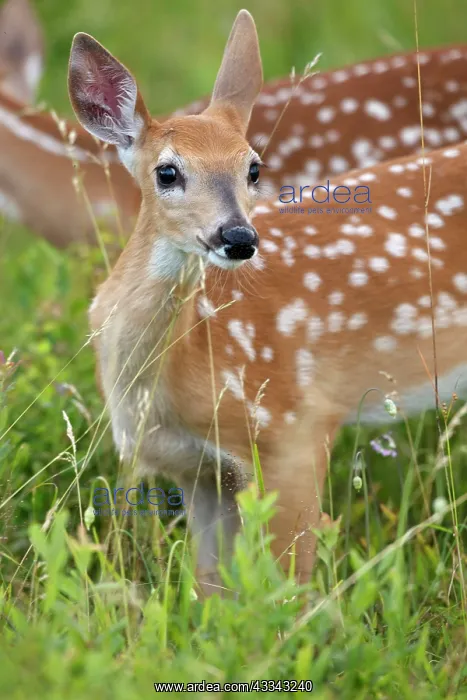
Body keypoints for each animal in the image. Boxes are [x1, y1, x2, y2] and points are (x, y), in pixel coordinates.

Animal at [67, 10, 467, 594]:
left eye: (253, 168)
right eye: (167, 171)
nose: (238, 237)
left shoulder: (295, 429)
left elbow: (288, 590)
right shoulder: (196, 469)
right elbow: (211, 588)